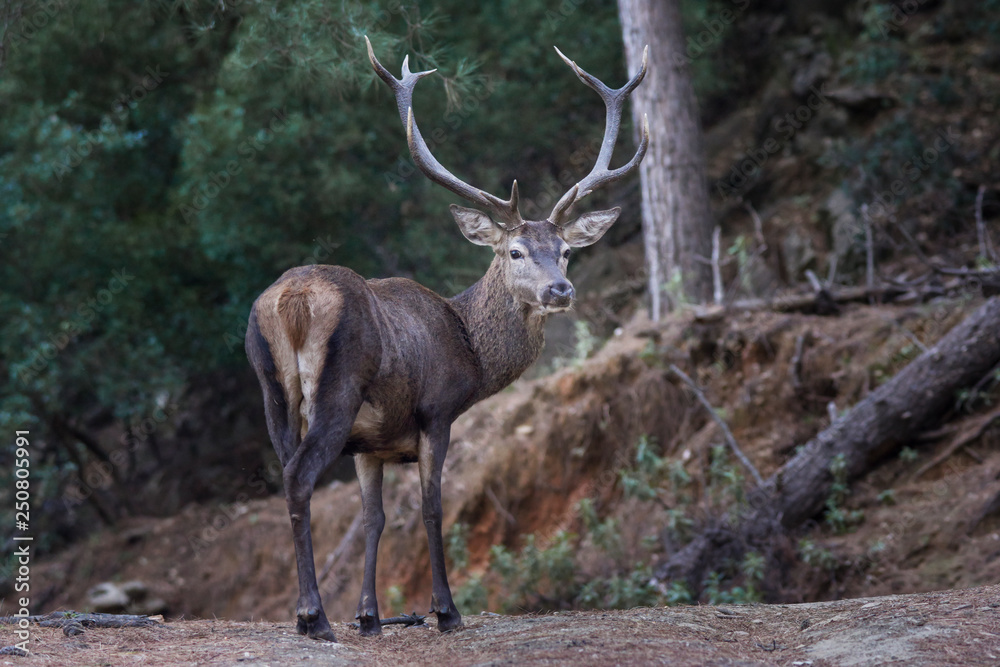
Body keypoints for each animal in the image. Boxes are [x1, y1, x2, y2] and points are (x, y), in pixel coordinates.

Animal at [245, 36, 648, 642]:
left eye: (566, 251)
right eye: (515, 251)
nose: (560, 290)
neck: (472, 354)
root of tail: (291, 300)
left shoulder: (371, 443)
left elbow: (375, 518)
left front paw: (369, 616)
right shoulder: (436, 412)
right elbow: (433, 506)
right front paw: (445, 611)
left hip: (272, 389)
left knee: (289, 475)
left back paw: (310, 613)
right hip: (336, 389)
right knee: (299, 479)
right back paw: (313, 617)